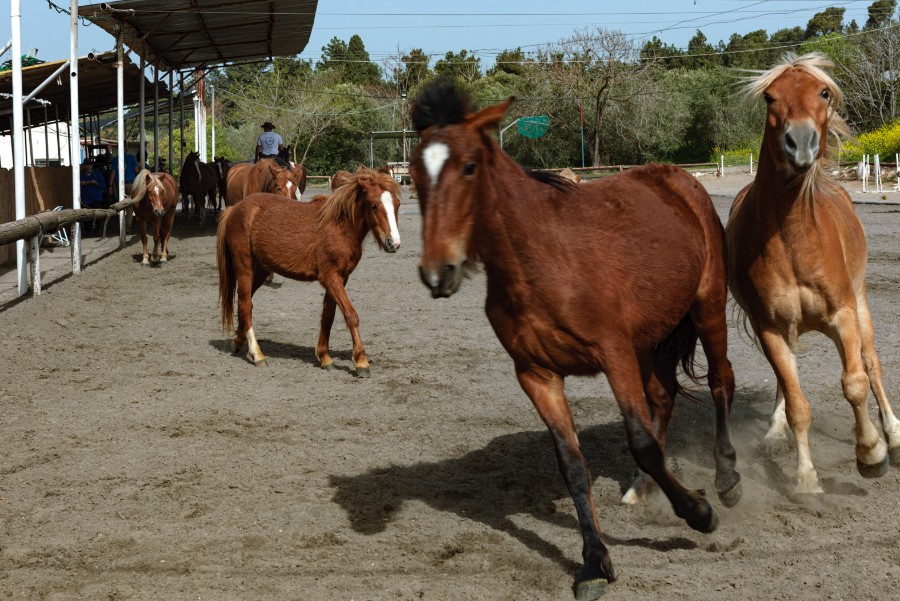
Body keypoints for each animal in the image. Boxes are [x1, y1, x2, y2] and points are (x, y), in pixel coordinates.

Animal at [214, 164, 400, 370]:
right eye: (374, 205)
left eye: (397, 204)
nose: (394, 243)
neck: (339, 226)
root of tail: (234, 209)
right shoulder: (330, 277)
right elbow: (351, 315)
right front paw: (361, 360)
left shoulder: (341, 277)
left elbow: (328, 315)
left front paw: (325, 357)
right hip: (245, 267)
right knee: (245, 304)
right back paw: (257, 354)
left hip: (261, 270)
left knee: (245, 303)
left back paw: (238, 342)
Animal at [408, 81, 740, 600]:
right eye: (414, 173)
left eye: (469, 166)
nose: (438, 272)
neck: (542, 261)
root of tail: (679, 181)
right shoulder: (537, 374)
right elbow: (572, 465)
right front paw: (594, 562)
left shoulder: (614, 354)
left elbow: (640, 441)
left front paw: (699, 514)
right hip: (651, 340)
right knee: (664, 398)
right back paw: (641, 487)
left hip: (705, 308)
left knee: (720, 380)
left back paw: (726, 476)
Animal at [724, 51, 900, 494]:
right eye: (769, 97)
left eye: (823, 92)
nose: (800, 142)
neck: (793, 239)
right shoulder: (770, 328)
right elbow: (797, 403)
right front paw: (805, 479)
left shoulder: (843, 316)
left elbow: (855, 383)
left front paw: (871, 452)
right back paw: (775, 430)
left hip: (862, 303)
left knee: (872, 366)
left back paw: (892, 434)